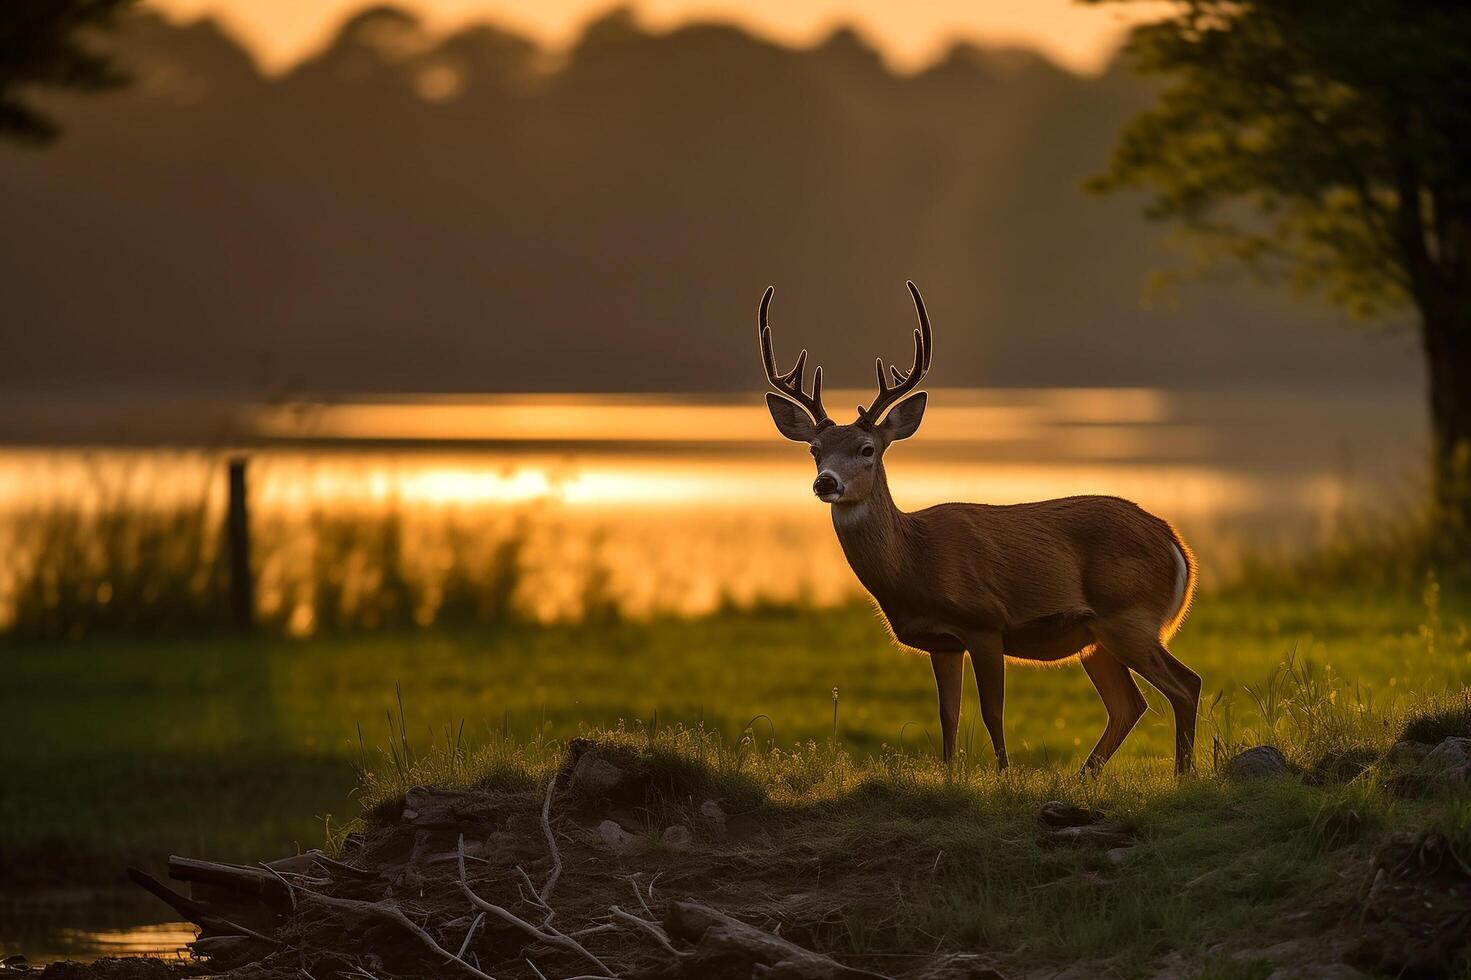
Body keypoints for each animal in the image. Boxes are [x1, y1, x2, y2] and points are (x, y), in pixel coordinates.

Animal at [753, 281, 1200, 771]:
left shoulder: (985, 622)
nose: (826, 482)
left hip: (1129, 616)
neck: (914, 564)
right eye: (814, 449)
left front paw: (1004, 773)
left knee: (1185, 685)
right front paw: (949, 772)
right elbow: (948, 713)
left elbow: (992, 712)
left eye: (867, 448)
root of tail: (1177, 547)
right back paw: (1088, 776)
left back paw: (1181, 774)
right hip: (1097, 636)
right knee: (1129, 705)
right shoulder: (942, 642)